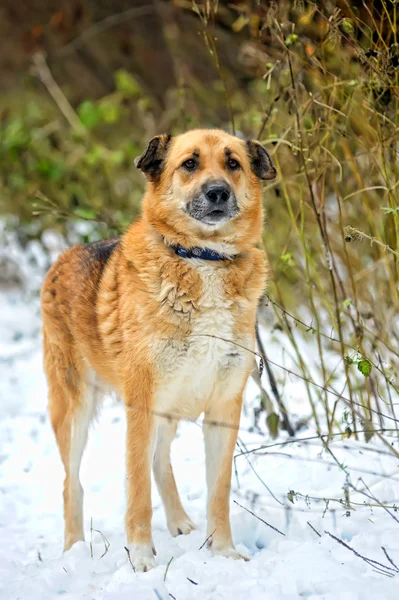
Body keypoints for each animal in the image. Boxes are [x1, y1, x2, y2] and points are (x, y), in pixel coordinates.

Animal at [42, 127, 276, 572]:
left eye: (232, 163)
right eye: (189, 163)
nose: (218, 192)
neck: (204, 258)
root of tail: (66, 255)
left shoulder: (224, 408)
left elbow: (218, 492)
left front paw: (222, 551)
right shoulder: (142, 401)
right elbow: (136, 490)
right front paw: (140, 559)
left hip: (167, 406)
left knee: (158, 460)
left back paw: (180, 521)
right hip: (74, 407)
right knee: (70, 482)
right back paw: (73, 549)